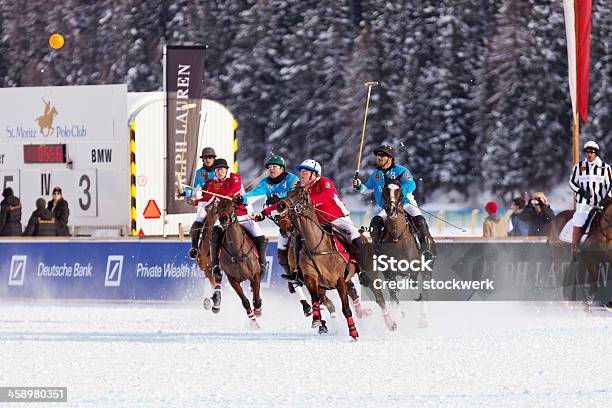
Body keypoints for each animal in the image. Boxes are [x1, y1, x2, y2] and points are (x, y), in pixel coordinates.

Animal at [215, 198, 262, 328]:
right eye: (218, 207)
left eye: (232, 205)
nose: (223, 219)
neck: (236, 251)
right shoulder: (233, 280)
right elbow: (245, 302)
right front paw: (254, 322)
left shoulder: (255, 274)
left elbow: (256, 298)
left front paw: (258, 309)